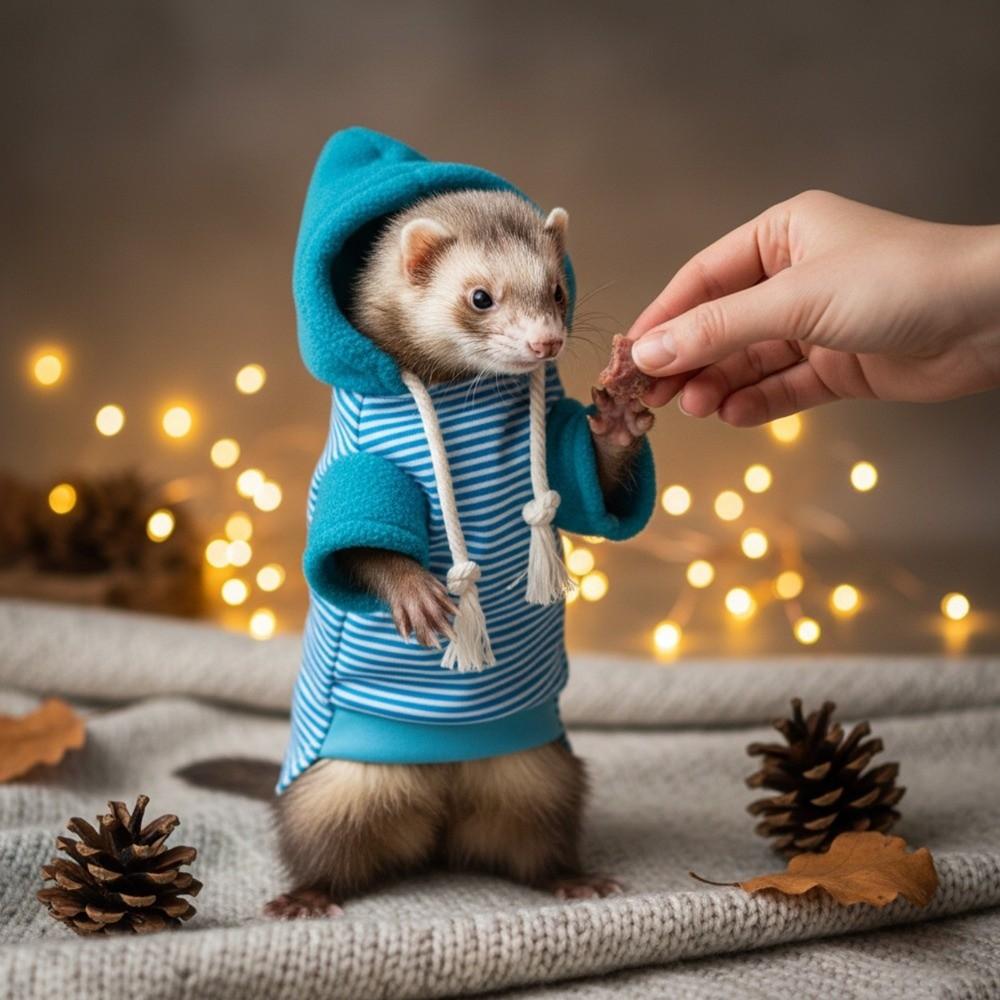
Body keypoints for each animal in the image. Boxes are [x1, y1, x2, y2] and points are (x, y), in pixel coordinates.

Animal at [266, 190, 652, 919]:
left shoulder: (560, 455)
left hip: (544, 777)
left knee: (538, 844)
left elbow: (589, 485)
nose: (545, 342)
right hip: (331, 789)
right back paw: (305, 896)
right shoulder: (357, 471)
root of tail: (439, 809)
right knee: (321, 845)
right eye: (480, 296)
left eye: (557, 289)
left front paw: (617, 417)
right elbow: (355, 546)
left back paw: (575, 879)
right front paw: (415, 591)